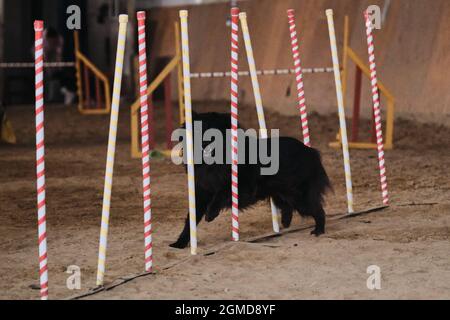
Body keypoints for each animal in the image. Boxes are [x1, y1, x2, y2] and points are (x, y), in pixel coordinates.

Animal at [169, 112, 330, 250]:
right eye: (198, 129)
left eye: (215, 132)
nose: (205, 144)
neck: (213, 163)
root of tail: (310, 151)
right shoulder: (201, 193)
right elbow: (190, 222)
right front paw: (179, 244)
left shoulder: (242, 189)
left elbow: (221, 195)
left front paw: (210, 214)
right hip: (281, 193)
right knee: (288, 207)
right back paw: (286, 222)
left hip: (299, 197)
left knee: (318, 210)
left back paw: (318, 230)